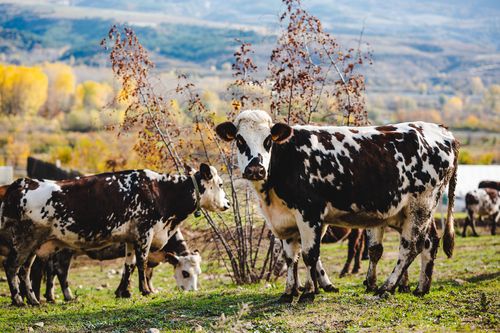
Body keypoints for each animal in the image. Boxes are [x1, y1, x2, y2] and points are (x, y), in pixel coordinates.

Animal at [0, 162, 229, 304]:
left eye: (199, 273)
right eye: (220, 184)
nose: (227, 204)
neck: (160, 191)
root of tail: (22, 183)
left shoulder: (130, 238)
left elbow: (128, 265)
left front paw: (124, 292)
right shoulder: (144, 233)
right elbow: (142, 263)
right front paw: (145, 291)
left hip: (36, 246)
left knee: (25, 271)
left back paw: (33, 299)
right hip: (26, 242)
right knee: (13, 267)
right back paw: (20, 300)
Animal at [215, 109, 458, 300]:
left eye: (268, 140)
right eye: (239, 140)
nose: (255, 169)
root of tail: (441, 131)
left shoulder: (309, 213)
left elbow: (309, 255)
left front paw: (309, 292)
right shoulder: (285, 220)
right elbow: (290, 257)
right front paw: (289, 292)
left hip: (421, 205)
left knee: (411, 247)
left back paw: (387, 287)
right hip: (416, 210)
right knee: (429, 242)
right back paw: (421, 287)